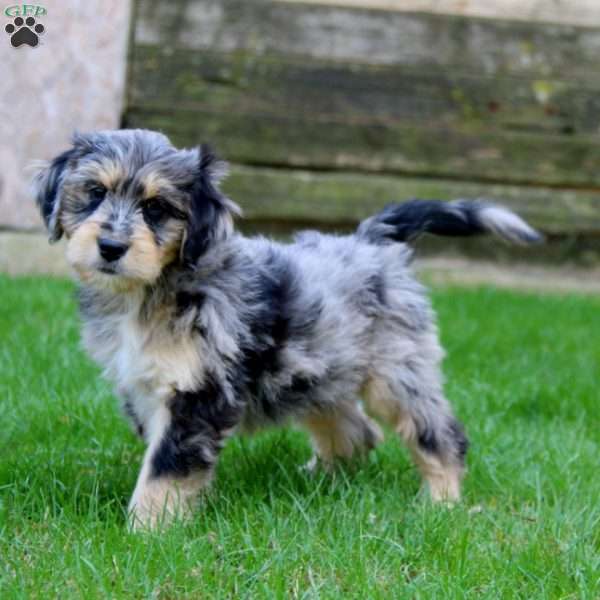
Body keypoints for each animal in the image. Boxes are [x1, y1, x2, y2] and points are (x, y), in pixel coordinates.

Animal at [34, 129, 544, 528]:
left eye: (156, 207)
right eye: (95, 192)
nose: (110, 247)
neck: (154, 289)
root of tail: (371, 241)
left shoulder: (198, 391)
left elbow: (165, 468)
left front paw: (146, 533)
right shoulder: (143, 385)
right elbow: (165, 461)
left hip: (397, 370)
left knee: (439, 432)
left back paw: (441, 504)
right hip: (318, 370)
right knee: (357, 430)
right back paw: (321, 482)